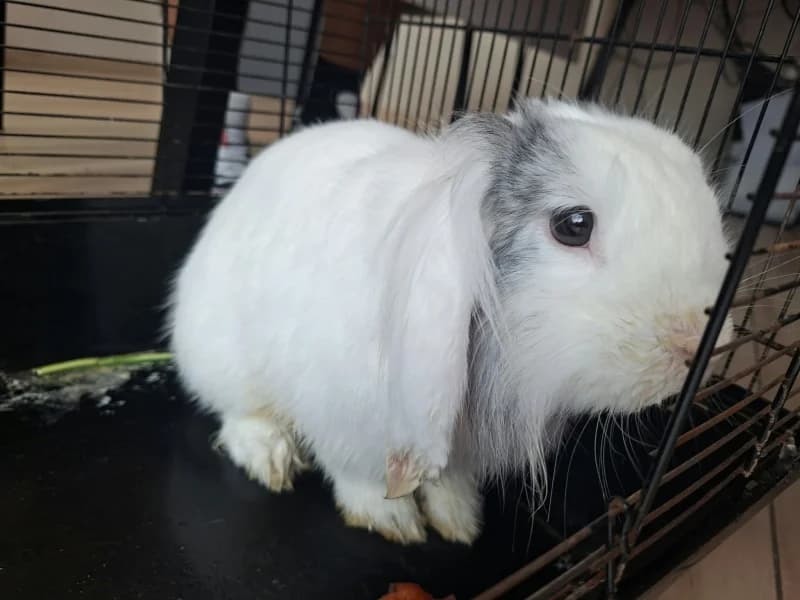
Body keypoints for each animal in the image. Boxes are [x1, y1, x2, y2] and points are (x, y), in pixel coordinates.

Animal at [166, 97, 734, 546]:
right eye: (573, 226)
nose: (697, 345)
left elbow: (449, 482)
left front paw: (461, 523)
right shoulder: (345, 422)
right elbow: (358, 477)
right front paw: (393, 522)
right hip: (221, 358)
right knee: (240, 413)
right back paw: (270, 458)